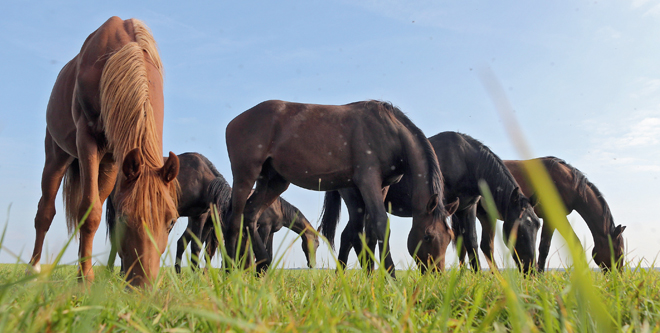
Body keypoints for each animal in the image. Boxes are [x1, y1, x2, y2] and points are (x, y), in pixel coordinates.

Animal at [28, 16, 179, 286]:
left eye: (171, 221)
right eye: (124, 218)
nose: (144, 286)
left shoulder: (112, 160)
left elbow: (92, 211)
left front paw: (83, 274)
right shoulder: (87, 141)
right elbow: (90, 212)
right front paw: (86, 280)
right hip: (56, 156)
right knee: (45, 211)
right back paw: (32, 271)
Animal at [320, 131, 540, 272]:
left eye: (537, 225)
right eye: (518, 229)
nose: (531, 268)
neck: (465, 160)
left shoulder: (466, 208)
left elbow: (471, 241)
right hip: (357, 202)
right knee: (351, 236)